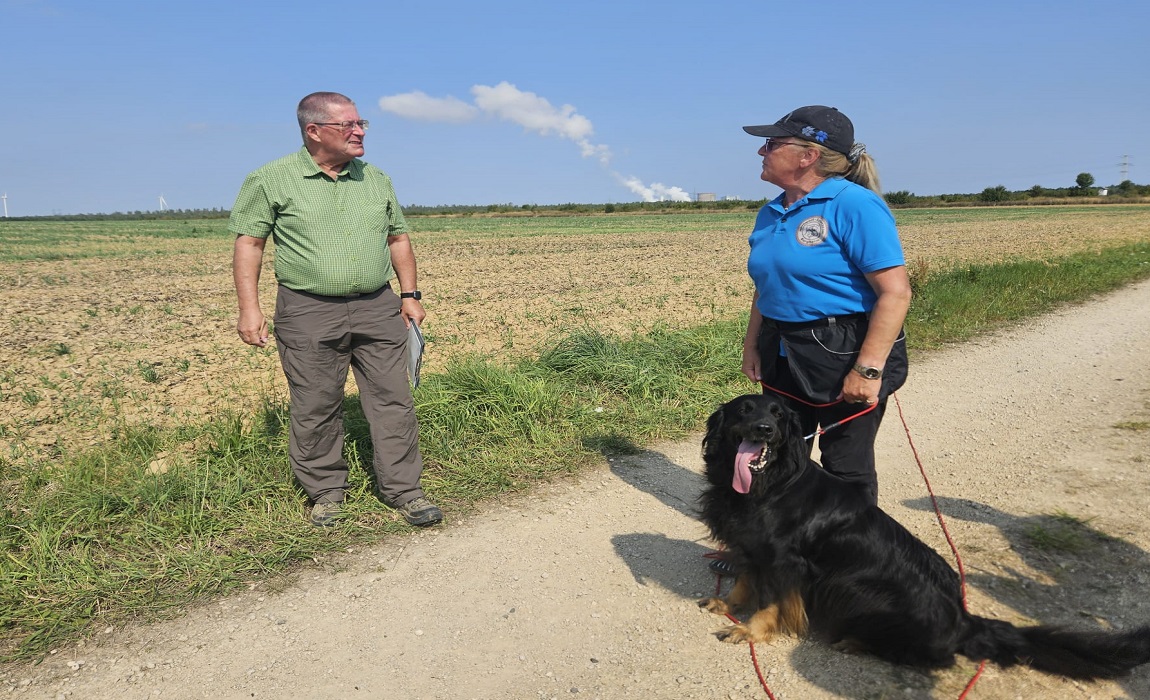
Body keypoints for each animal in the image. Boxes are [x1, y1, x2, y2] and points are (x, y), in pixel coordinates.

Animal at [694, 393, 1150, 675]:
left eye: (777, 415)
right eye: (744, 411)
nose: (764, 430)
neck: (770, 484)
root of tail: (964, 621)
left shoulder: (787, 562)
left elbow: (771, 602)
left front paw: (750, 631)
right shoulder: (751, 545)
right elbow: (745, 581)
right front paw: (729, 605)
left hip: (862, 590)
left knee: (932, 658)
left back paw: (856, 643)